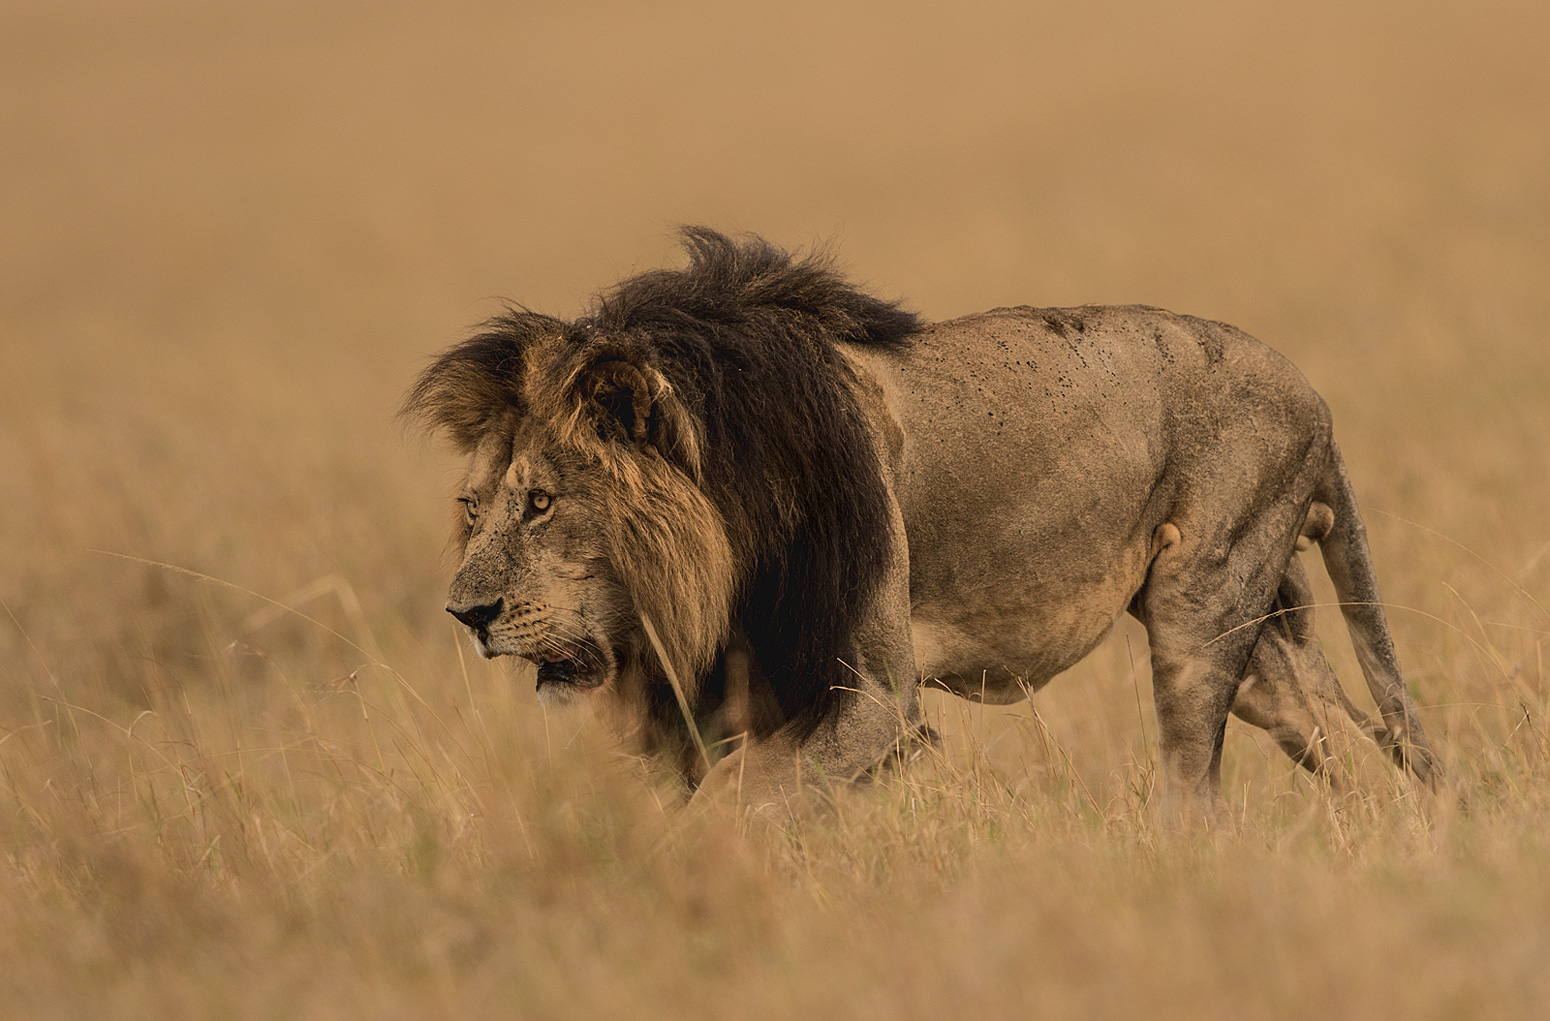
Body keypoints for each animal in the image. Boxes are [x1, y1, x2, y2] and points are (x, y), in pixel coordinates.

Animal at [403, 227, 1438, 818]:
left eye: (542, 502)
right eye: (474, 508)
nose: (464, 614)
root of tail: (1313, 397)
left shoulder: (870, 699)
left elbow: (733, 811)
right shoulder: (726, 708)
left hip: (1202, 611)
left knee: (1198, 788)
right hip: (1261, 635)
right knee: (1350, 742)